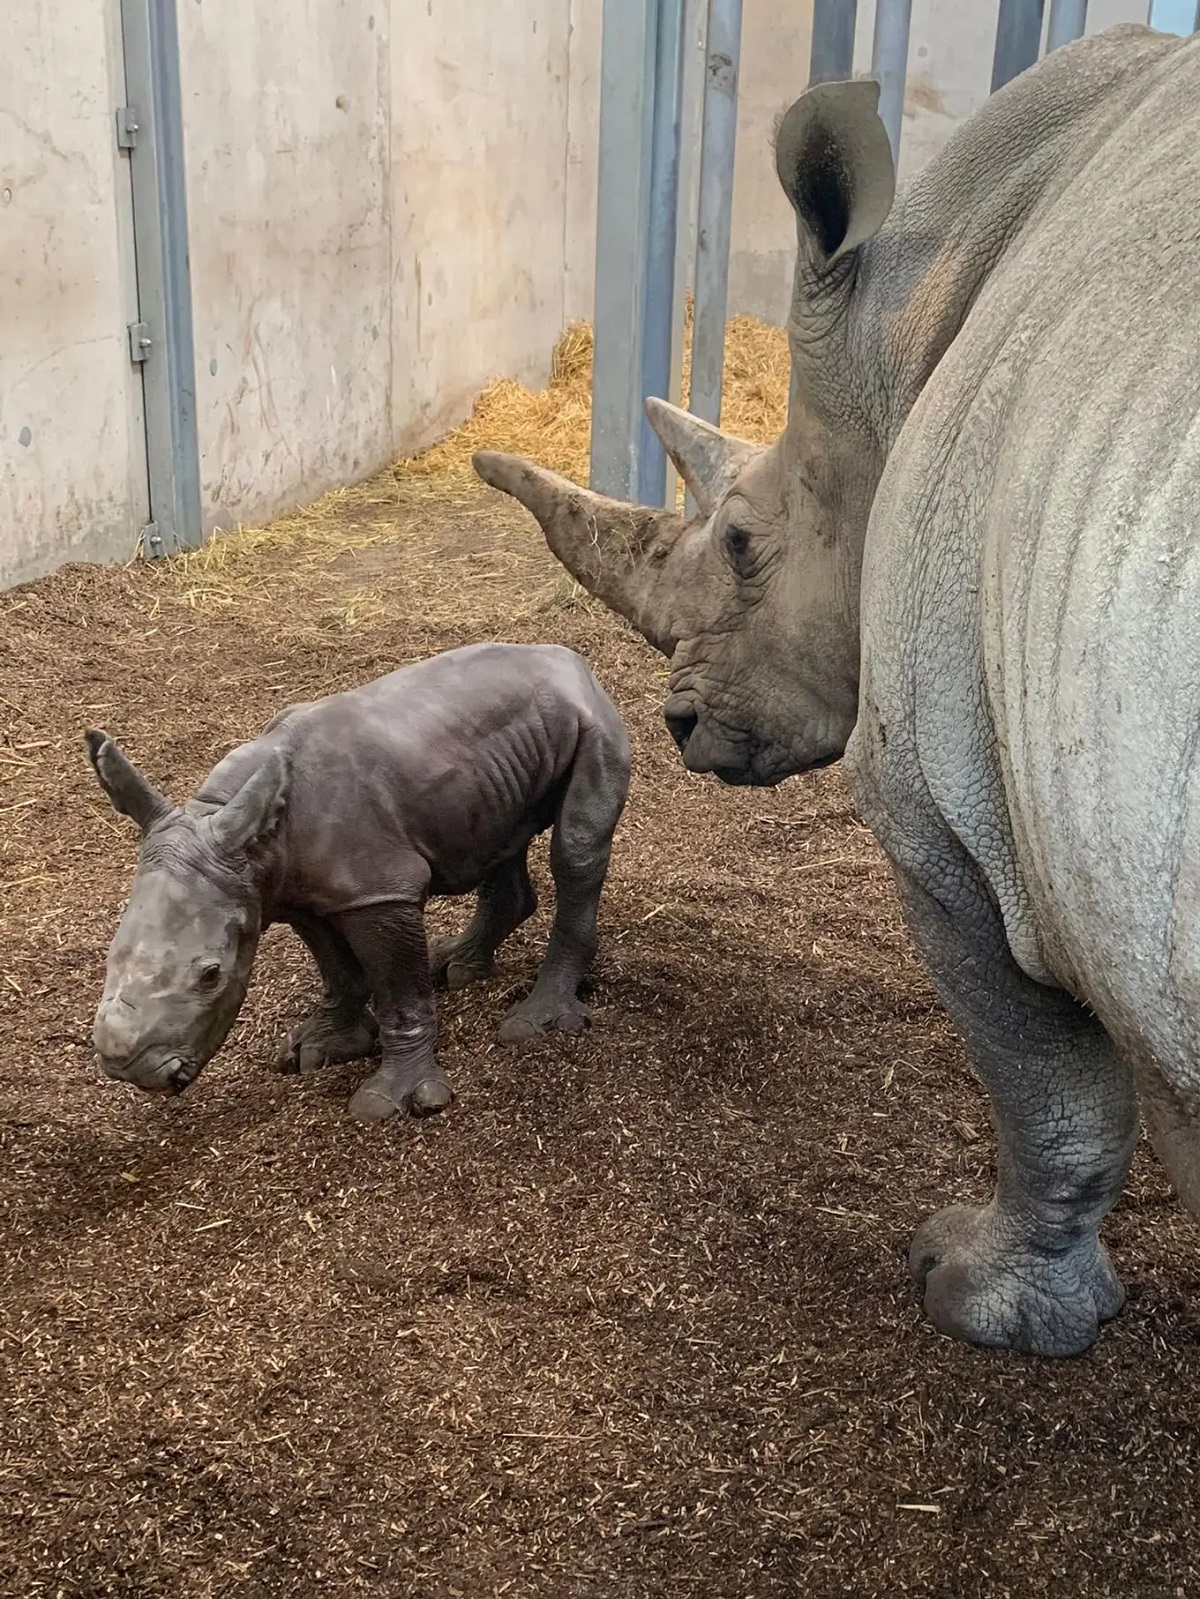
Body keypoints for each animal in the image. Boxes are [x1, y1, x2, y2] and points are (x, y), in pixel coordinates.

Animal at [86, 642, 631, 1122]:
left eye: (210, 975)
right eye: (110, 957)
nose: (130, 1069)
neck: (246, 839)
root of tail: (571, 660)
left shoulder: (379, 892)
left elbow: (398, 990)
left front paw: (394, 1102)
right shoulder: (296, 890)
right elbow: (337, 968)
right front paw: (321, 1049)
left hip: (593, 722)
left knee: (575, 849)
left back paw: (535, 1022)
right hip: (503, 753)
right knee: (500, 835)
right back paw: (455, 966)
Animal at [474, 25, 1200, 1356]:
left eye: (742, 541)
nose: (678, 723)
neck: (904, 325)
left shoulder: (951, 822)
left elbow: (1052, 1091)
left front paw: (967, 1295)